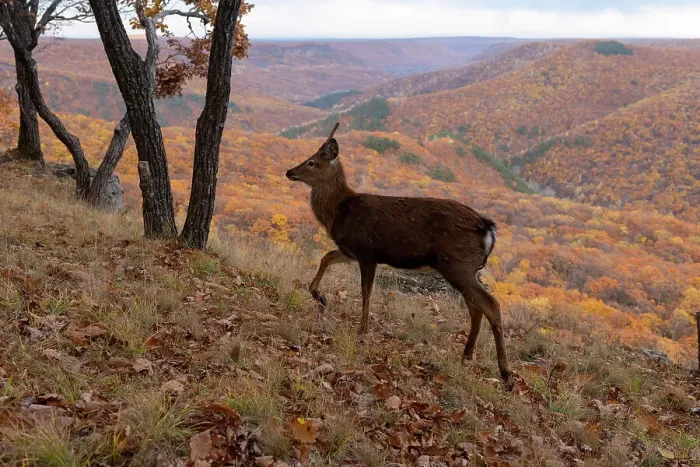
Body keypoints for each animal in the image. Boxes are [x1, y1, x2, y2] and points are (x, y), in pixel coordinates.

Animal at [285, 122, 512, 387]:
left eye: (311, 162)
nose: (289, 171)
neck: (339, 212)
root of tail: (488, 229)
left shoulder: (367, 250)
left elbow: (366, 291)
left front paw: (362, 330)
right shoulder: (349, 250)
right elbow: (326, 257)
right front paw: (319, 296)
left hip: (458, 264)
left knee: (490, 304)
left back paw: (505, 373)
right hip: (461, 268)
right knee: (475, 307)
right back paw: (466, 355)